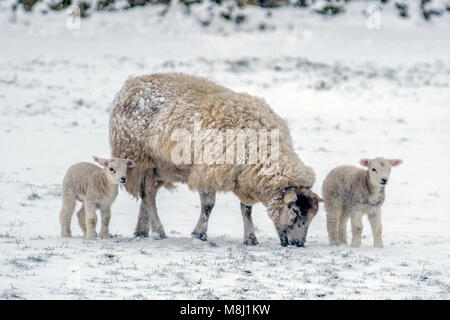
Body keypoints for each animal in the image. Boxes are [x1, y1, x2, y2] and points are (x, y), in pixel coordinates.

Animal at [108, 73, 320, 248]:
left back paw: (142, 231)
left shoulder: (243, 178)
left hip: (159, 168)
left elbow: (246, 209)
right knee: (148, 196)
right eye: (295, 211)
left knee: (147, 195)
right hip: (140, 159)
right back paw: (159, 231)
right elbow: (208, 207)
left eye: (312, 216)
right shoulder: (208, 172)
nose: (298, 244)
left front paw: (250, 239)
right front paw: (199, 234)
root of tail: (130, 84)